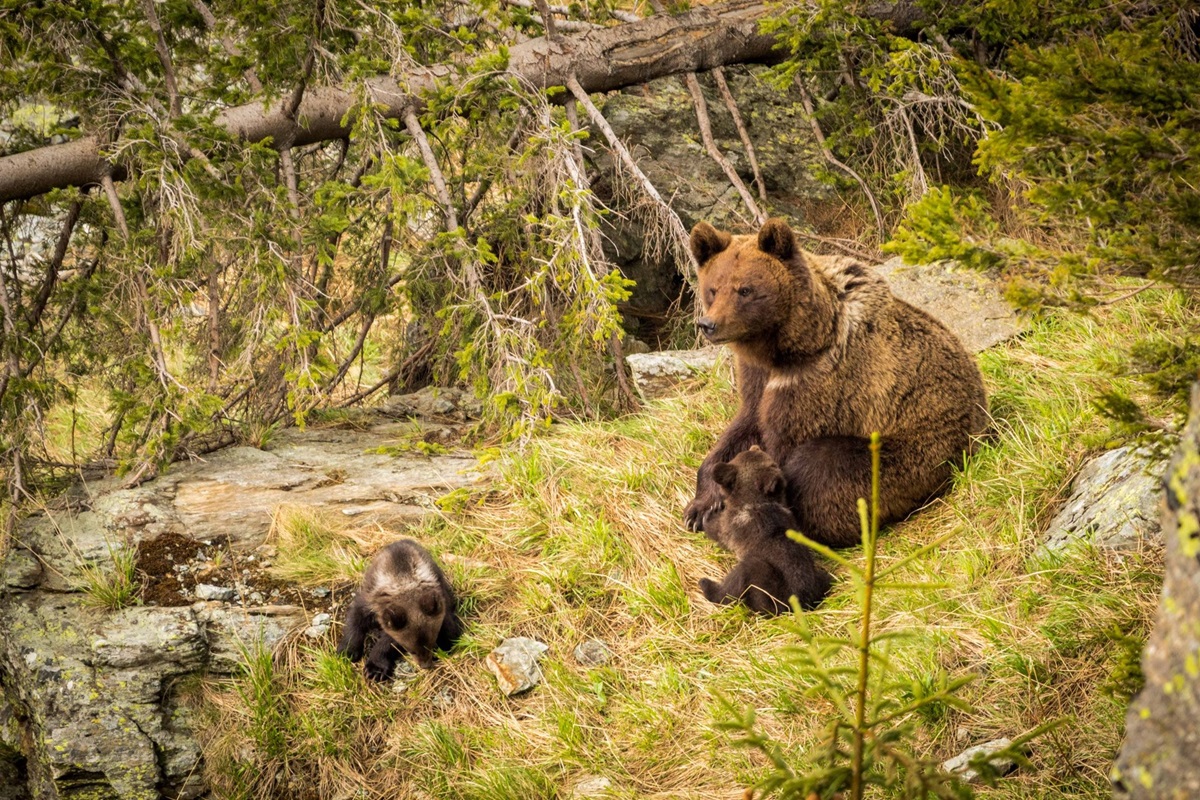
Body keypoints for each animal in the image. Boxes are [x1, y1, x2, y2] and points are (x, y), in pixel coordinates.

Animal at [337, 539, 462, 680]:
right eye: (411, 650)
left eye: (430, 644)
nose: (425, 665)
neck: (402, 580)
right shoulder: (368, 599)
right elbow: (355, 620)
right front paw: (347, 652)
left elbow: (389, 640)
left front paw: (375, 668)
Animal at [684, 217, 988, 548]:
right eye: (713, 289)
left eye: (745, 289)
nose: (709, 324)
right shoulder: (757, 377)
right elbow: (742, 428)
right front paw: (699, 506)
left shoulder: (819, 385)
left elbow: (780, 452)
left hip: (914, 451)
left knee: (822, 468)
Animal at [698, 446, 833, 614]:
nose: (754, 447)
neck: (755, 499)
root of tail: (799, 602)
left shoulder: (731, 526)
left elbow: (718, 532)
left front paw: (710, 514)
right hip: (818, 578)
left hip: (769, 587)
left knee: (743, 577)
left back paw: (708, 586)